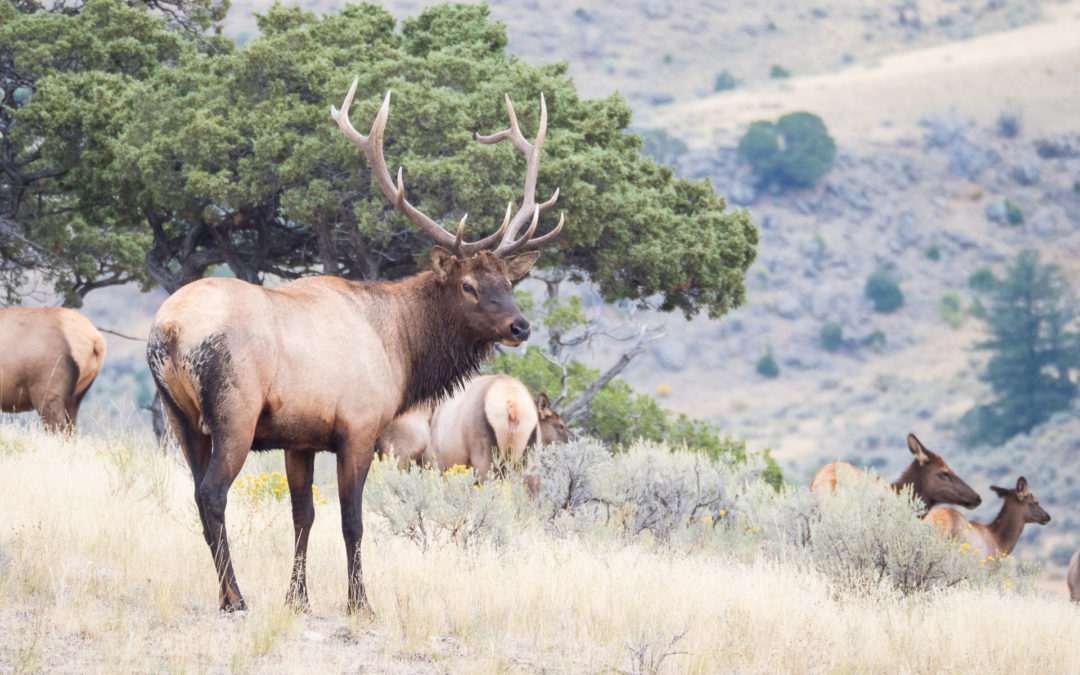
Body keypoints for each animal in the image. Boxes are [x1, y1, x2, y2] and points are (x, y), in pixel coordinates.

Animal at [146, 81, 565, 613]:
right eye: (469, 285)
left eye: (508, 282)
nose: (520, 326)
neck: (401, 351)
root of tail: (168, 330)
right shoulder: (361, 428)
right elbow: (353, 520)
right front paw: (359, 601)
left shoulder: (300, 438)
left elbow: (303, 515)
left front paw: (298, 598)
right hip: (233, 413)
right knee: (212, 495)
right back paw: (235, 598)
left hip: (180, 417)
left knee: (198, 495)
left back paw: (226, 594)